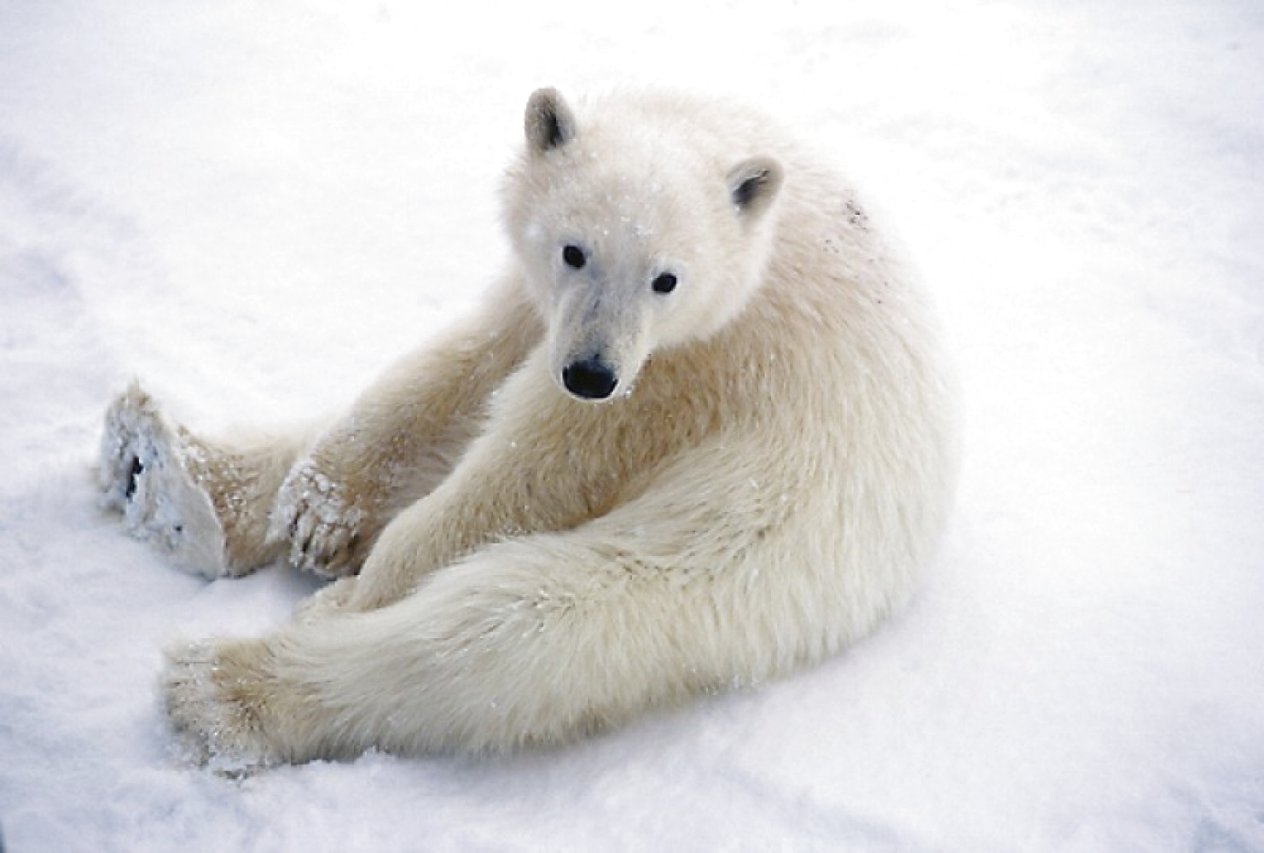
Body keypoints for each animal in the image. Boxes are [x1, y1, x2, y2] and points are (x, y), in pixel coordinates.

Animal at [98, 88, 950, 768]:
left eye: (666, 277)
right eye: (575, 249)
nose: (591, 371)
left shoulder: (692, 368)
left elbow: (535, 466)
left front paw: (360, 585)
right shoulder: (548, 303)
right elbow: (466, 365)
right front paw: (320, 508)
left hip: (742, 556)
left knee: (508, 629)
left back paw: (223, 684)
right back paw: (163, 473)